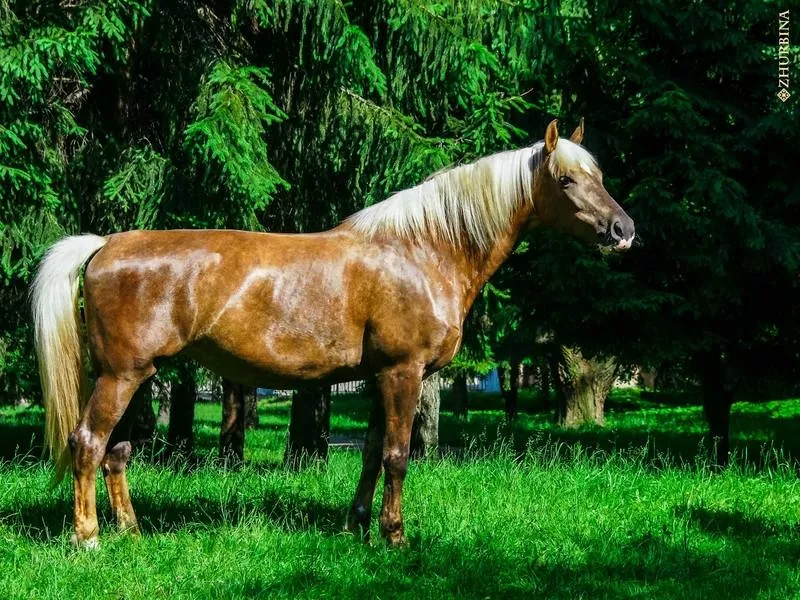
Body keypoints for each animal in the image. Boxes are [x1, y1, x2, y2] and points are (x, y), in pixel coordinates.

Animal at [29, 119, 632, 548]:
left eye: (600, 177)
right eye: (565, 179)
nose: (623, 230)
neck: (422, 250)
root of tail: (106, 244)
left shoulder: (377, 378)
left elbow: (370, 453)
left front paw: (357, 526)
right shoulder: (403, 372)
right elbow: (397, 455)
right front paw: (395, 537)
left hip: (131, 375)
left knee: (116, 449)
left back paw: (131, 532)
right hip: (121, 375)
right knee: (88, 443)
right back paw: (88, 539)